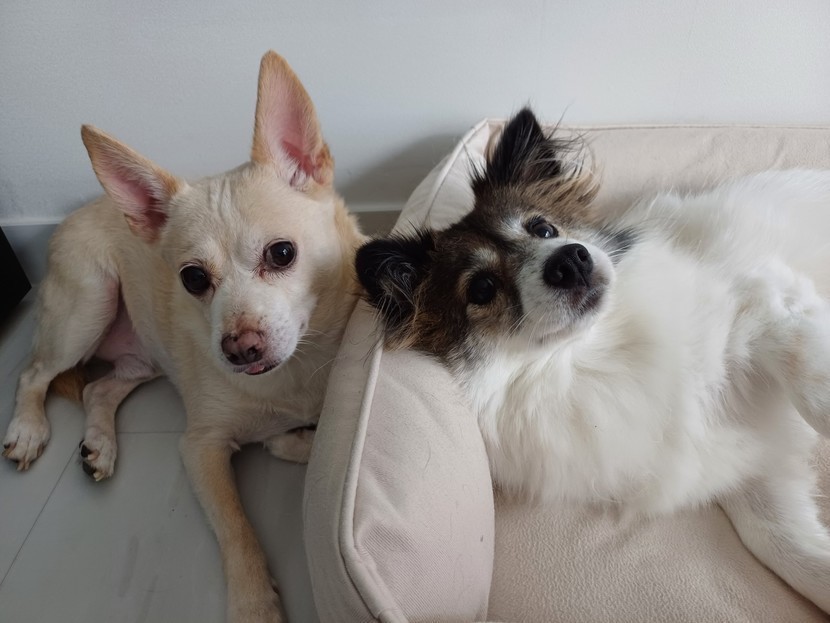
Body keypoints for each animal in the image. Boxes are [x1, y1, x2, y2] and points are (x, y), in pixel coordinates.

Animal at [3, 51, 364, 622]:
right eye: (193, 279)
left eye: (282, 253)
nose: (239, 349)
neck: (295, 373)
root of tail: (80, 211)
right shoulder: (200, 448)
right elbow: (237, 531)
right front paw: (255, 605)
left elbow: (318, 442)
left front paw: (302, 441)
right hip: (87, 306)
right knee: (34, 372)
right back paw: (28, 428)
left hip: (143, 354)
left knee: (97, 388)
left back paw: (99, 444)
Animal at [356, 108, 830, 612]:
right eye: (482, 288)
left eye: (544, 228)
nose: (572, 259)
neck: (593, 354)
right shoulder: (751, 469)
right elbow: (784, 547)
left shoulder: (765, 299)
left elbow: (811, 383)